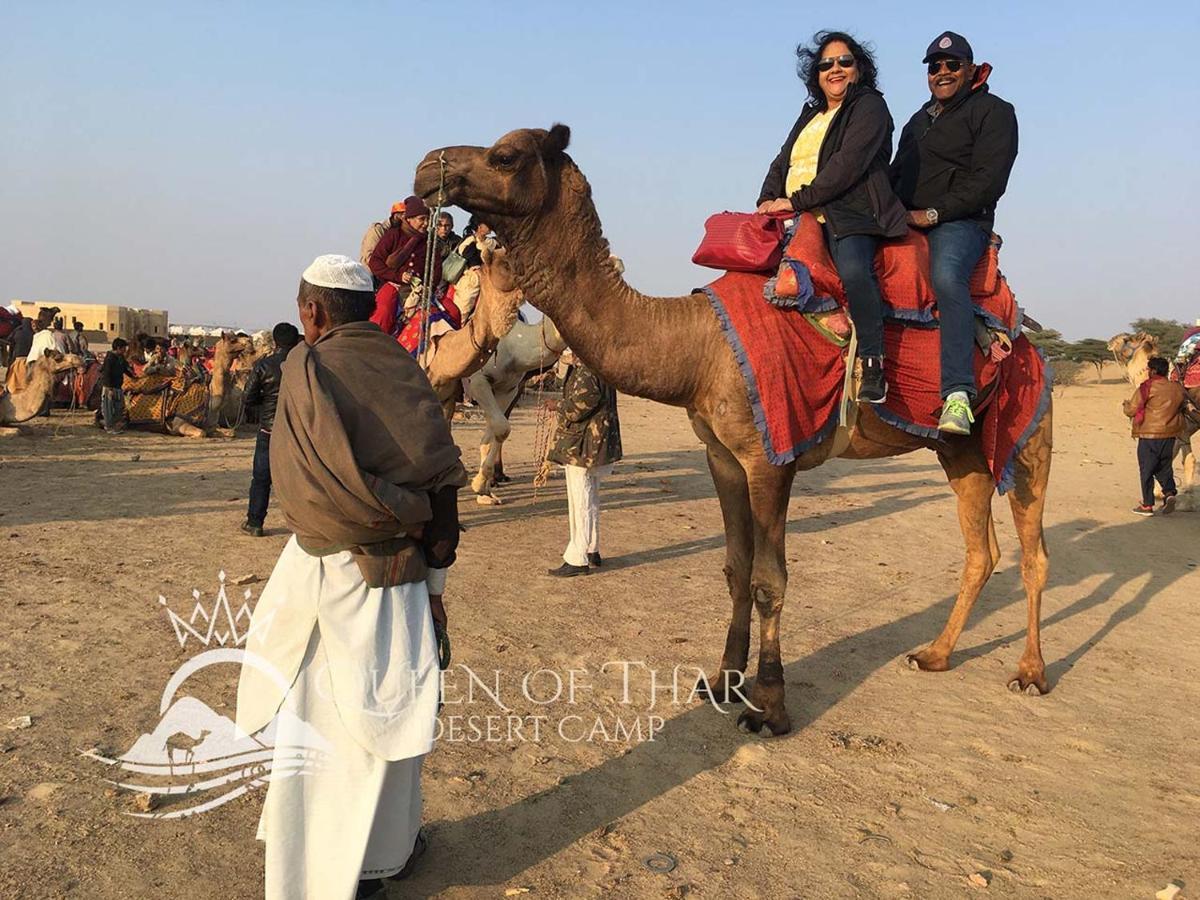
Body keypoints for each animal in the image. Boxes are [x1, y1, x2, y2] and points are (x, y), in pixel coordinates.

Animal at [417, 123, 1056, 734]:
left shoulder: (771, 455)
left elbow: (770, 579)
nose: (428, 166)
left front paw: (768, 708)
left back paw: (1030, 673)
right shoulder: (722, 456)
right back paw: (935, 654)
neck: (696, 344)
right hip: (962, 451)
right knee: (981, 549)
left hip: (1029, 427)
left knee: (1033, 549)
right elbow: (735, 568)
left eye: (504, 155)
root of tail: (1026, 335)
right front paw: (722, 682)